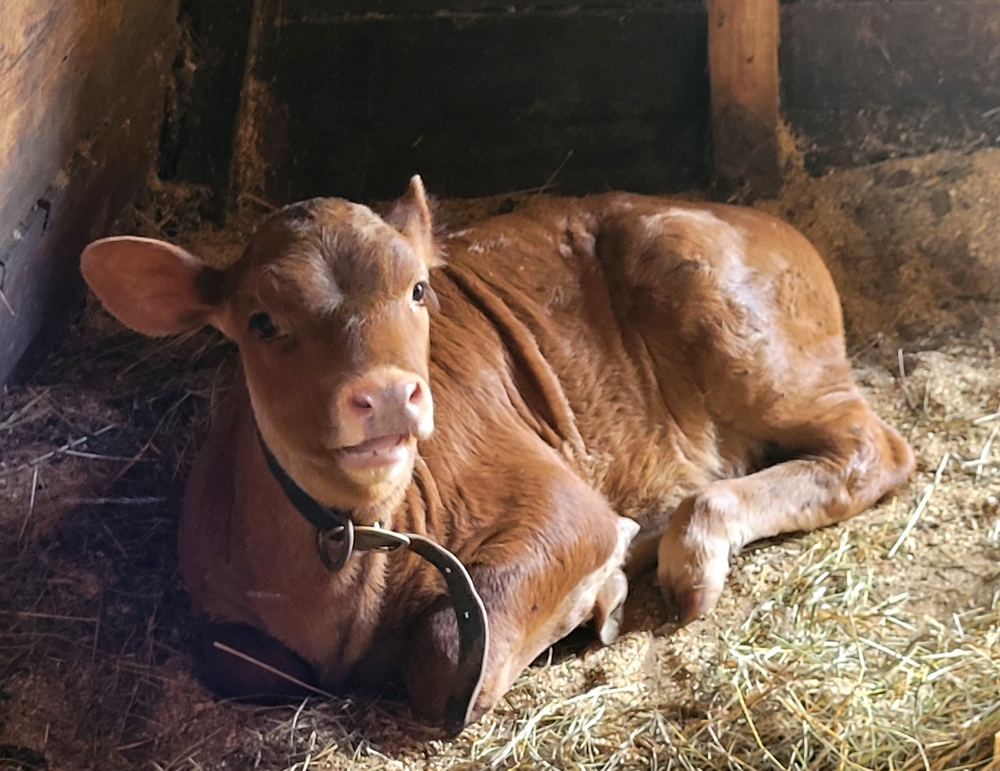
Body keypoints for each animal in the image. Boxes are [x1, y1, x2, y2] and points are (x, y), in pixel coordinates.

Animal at [80, 176, 914, 734]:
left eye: (418, 290)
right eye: (262, 320)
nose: (388, 393)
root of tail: (767, 219)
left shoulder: (563, 504)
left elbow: (450, 648)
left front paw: (598, 587)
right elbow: (243, 662)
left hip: (749, 342)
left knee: (874, 449)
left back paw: (689, 549)